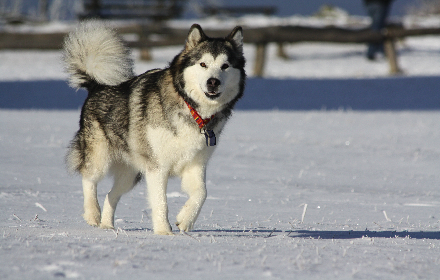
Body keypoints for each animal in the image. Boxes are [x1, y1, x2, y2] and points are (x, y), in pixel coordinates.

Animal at [63, 21, 246, 234]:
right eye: (203, 64)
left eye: (225, 66)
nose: (213, 82)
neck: (192, 109)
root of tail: (97, 85)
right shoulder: (157, 167)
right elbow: (161, 202)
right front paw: (164, 232)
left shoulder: (195, 164)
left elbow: (202, 193)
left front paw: (185, 220)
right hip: (99, 156)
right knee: (89, 178)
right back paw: (93, 214)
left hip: (131, 174)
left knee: (111, 195)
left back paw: (107, 225)